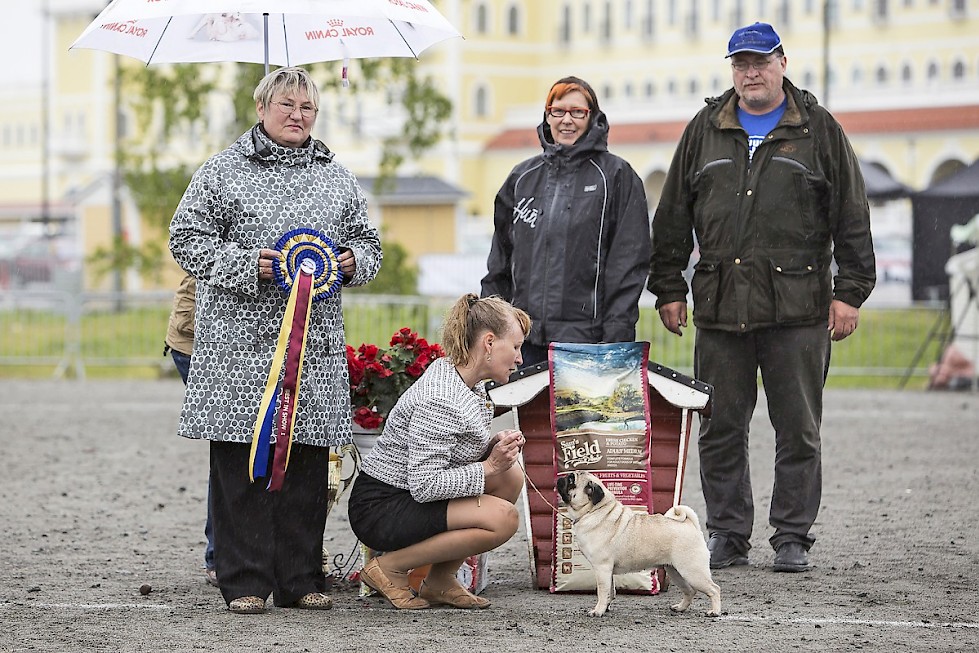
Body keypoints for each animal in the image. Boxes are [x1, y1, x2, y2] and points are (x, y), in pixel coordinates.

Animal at [560, 468, 720, 616]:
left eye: (571, 480)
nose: (561, 478)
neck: (594, 510)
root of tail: (690, 525)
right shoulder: (607, 571)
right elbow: (610, 591)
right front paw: (605, 608)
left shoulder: (602, 568)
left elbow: (602, 592)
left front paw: (598, 611)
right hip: (675, 571)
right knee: (690, 591)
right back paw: (680, 608)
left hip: (692, 571)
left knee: (714, 589)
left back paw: (714, 611)